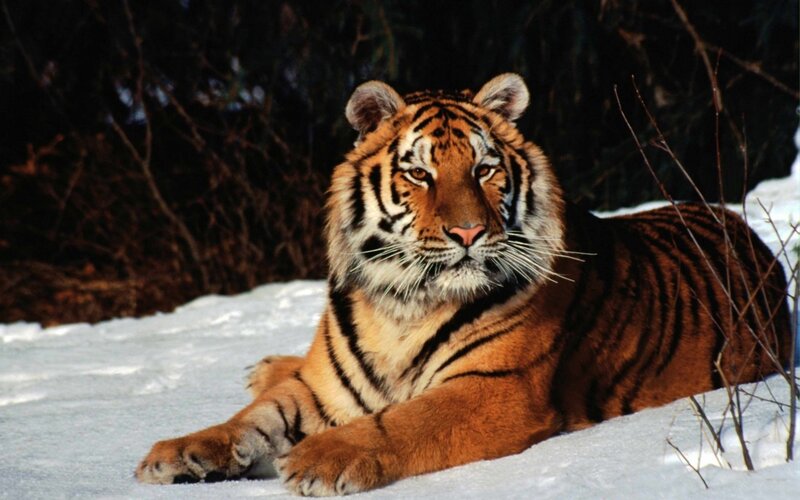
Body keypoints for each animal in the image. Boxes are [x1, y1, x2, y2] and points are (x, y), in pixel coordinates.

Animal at [135, 74, 792, 495]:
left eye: (485, 168)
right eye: (419, 174)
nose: (470, 231)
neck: (402, 304)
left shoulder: (494, 388)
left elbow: (400, 421)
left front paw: (319, 458)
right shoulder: (324, 387)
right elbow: (251, 420)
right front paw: (177, 453)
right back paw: (264, 366)